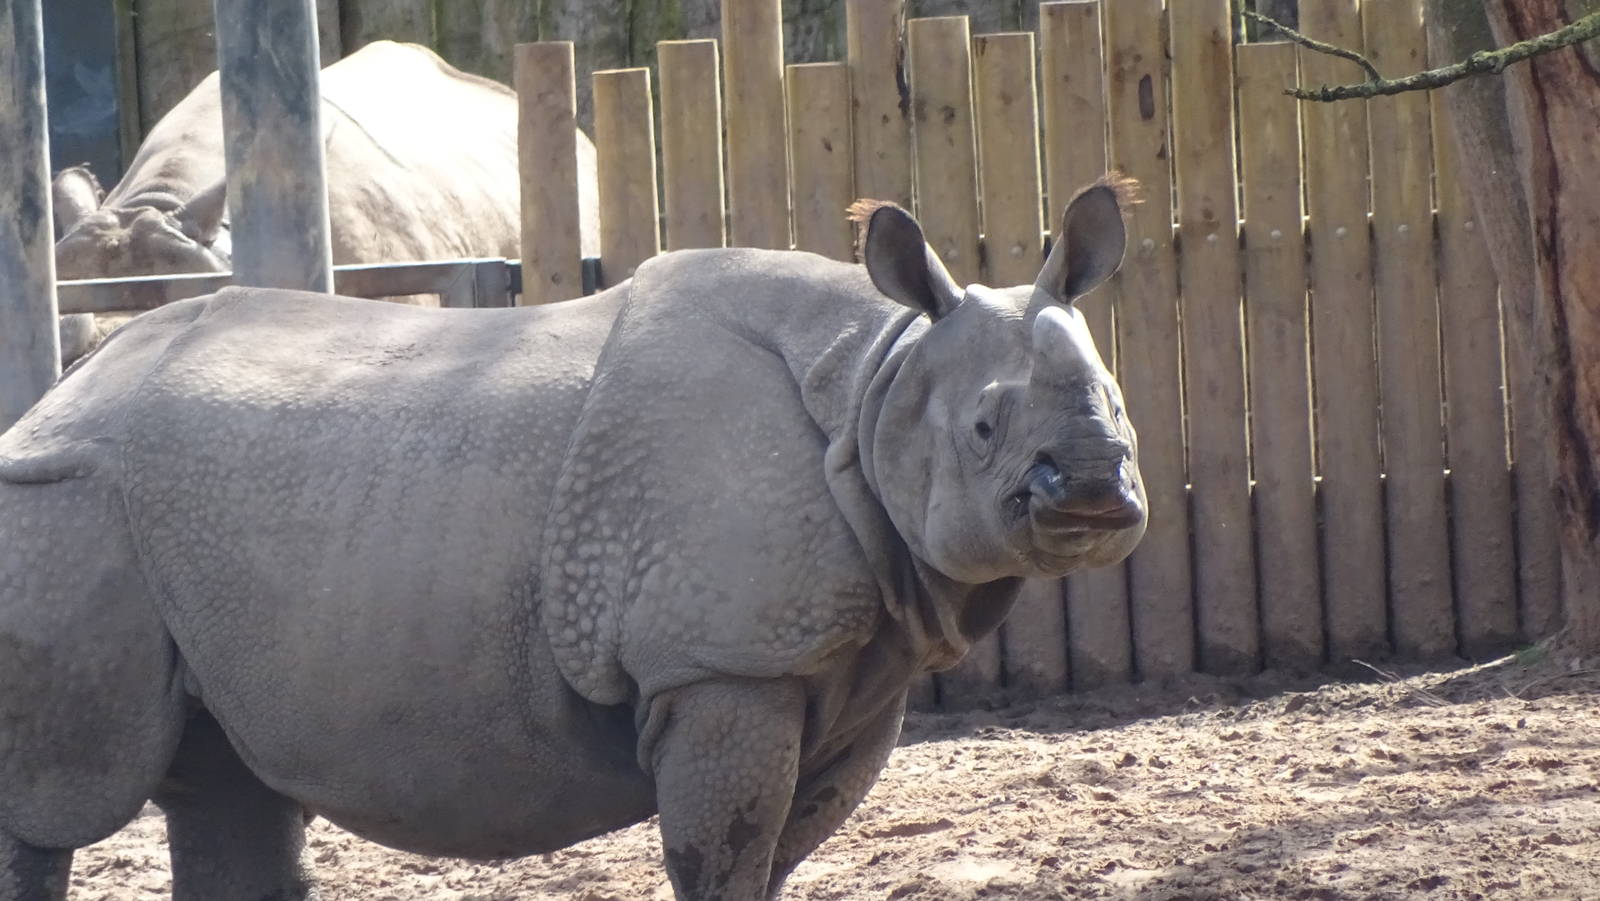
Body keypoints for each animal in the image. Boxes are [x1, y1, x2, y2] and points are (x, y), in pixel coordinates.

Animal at [0, 179, 1145, 901]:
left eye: (1123, 407)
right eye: (985, 430)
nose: (1093, 488)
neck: (877, 376)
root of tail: (53, 399)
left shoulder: (854, 669)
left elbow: (781, 852)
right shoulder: (721, 663)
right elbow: (724, 857)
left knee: (227, 789)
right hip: (62, 507)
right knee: (56, 801)